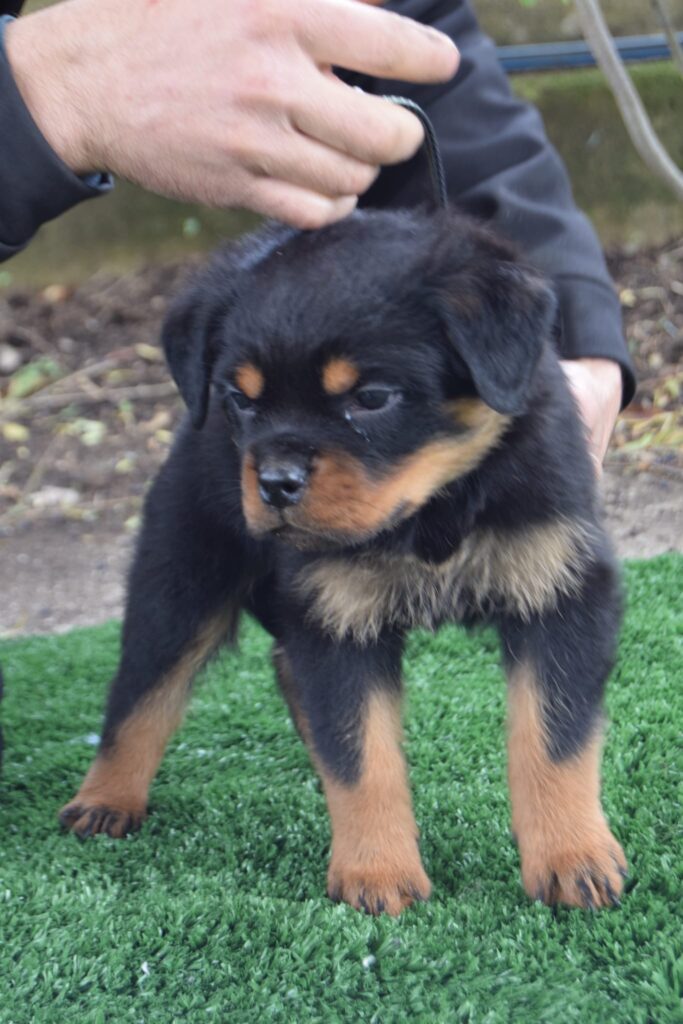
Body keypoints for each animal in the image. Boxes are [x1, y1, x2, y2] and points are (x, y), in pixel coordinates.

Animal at [61, 205, 626, 913]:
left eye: (372, 397)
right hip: (180, 583)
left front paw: (574, 860)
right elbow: (364, 757)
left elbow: (555, 739)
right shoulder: (337, 616)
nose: (274, 483)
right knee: (140, 695)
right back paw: (103, 800)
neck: (432, 513)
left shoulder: (561, 589)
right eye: (241, 399)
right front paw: (377, 874)